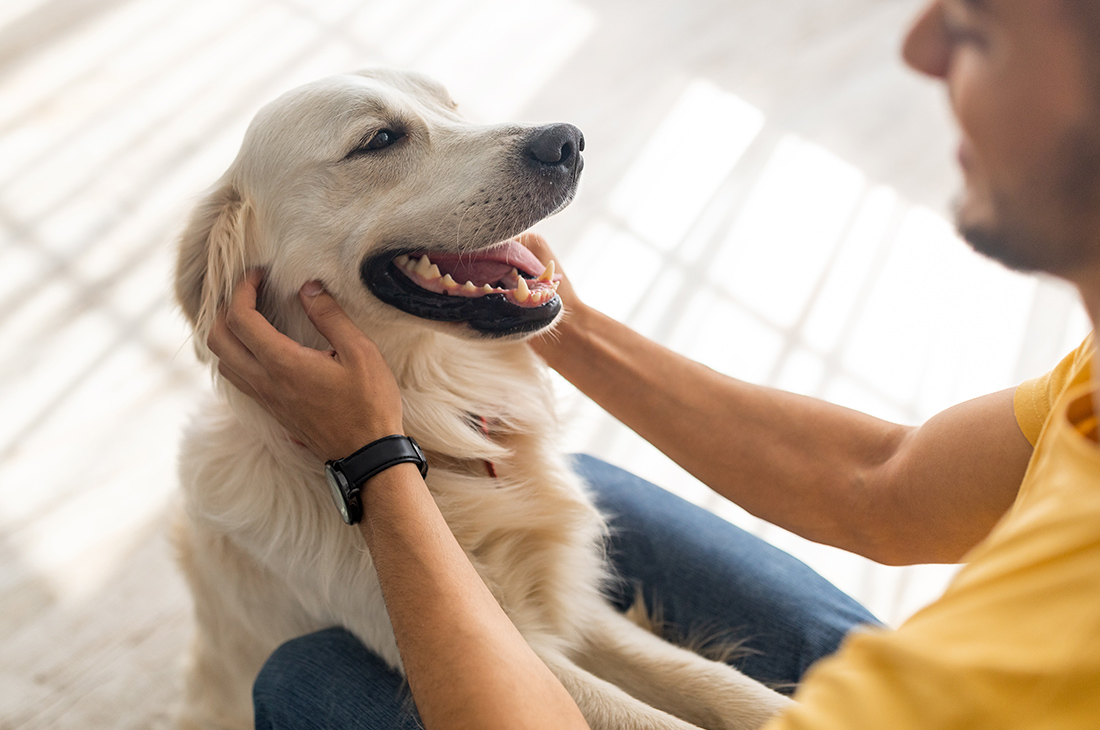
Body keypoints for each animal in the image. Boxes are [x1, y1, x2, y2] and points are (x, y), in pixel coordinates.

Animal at [171, 68, 792, 729]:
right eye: (378, 139)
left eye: (451, 106)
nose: (568, 141)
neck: (442, 429)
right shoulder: (499, 646)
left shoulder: (573, 599)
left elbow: (716, 682)